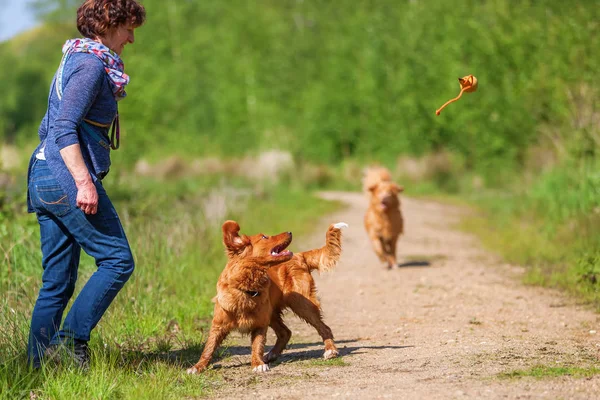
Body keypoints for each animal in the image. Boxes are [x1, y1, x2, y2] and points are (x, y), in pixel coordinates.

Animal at [188, 220, 346, 374]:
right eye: (264, 237)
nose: (289, 232)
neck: (246, 287)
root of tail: (299, 256)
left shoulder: (260, 324)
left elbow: (257, 346)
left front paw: (258, 364)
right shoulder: (218, 325)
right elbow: (209, 348)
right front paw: (198, 366)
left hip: (302, 304)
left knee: (324, 328)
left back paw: (330, 350)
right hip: (273, 313)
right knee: (285, 332)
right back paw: (272, 354)